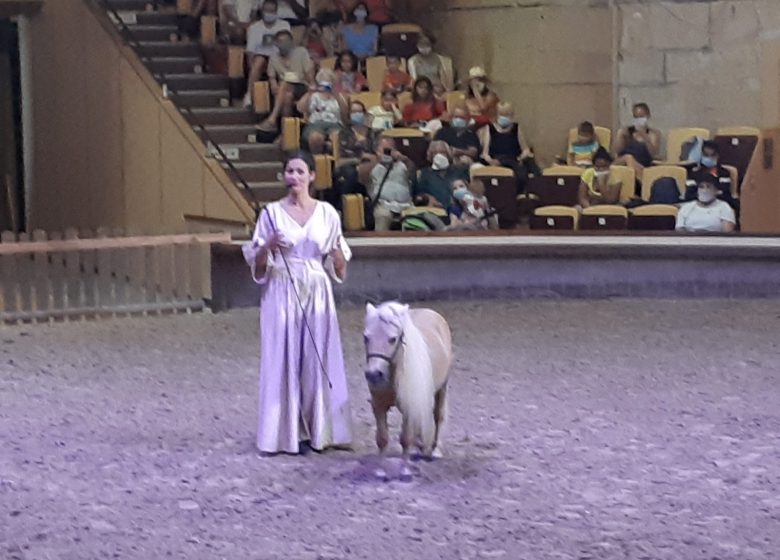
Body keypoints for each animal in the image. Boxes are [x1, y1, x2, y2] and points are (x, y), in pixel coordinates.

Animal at [362, 302, 450, 464]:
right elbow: (382, 439)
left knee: (438, 416)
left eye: (393, 339)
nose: (373, 374)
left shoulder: (408, 407)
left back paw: (435, 450)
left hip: (442, 388)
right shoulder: (378, 406)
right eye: (366, 337)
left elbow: (405, 439)